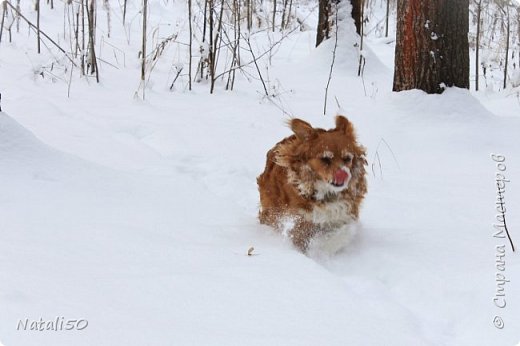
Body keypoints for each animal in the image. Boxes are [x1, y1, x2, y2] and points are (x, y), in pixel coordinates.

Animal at [256, 115, 366, 253]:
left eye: (347, 158)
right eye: (325, 159)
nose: (344, 174)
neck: (327, 193)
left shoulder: (344, 214)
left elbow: (341, 232)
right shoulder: (300, 220)